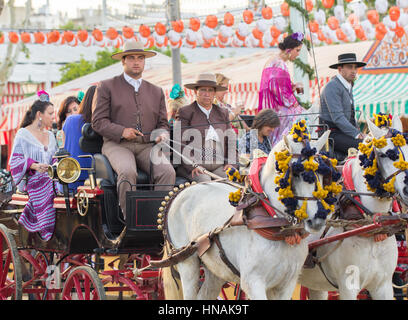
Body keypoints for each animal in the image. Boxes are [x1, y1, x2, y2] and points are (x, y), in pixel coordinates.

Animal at [162, 130, 332, 300]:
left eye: (322, 174)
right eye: (295, 173)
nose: (317, 220)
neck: (280, 229)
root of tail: (183, 190)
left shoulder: (286, 284)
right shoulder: (253, 283)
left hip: (215, 269)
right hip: (188, 263)